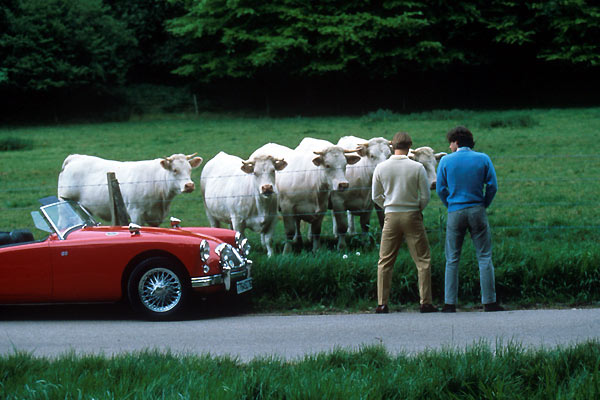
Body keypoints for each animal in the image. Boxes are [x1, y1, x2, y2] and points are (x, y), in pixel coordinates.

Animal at [58, 153, 204, 227]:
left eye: (190, 169)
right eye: (175, 170)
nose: (189, 185)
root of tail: (74, 157)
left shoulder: (155, 218)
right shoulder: (135, 213)